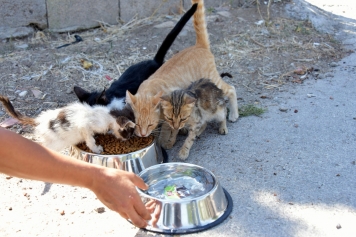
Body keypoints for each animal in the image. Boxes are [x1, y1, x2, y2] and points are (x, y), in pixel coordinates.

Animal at [0, 96, 135, 154]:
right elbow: (90, 140)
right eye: (128, 131)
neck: (108, 115)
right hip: (56, 142)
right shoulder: (84, 125)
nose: (129, 138)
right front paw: (96, 149)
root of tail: (40, 120)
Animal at [126, 0, 239, 139]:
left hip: (213, 78)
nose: (142, 135)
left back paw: (233, 114)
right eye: (136, 124)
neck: (148, 90)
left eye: (150, 124)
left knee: (231, 89)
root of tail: (199, 46)